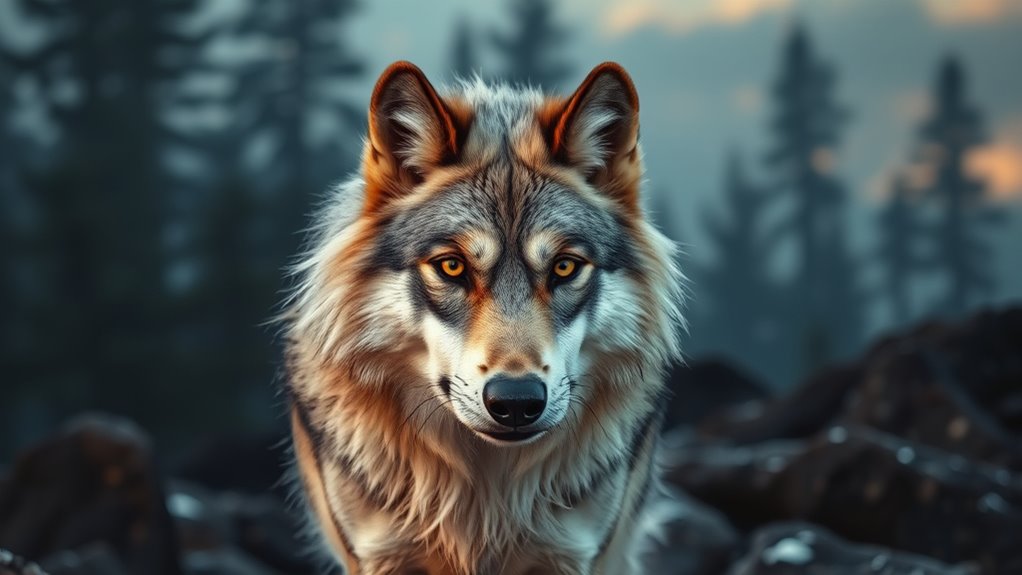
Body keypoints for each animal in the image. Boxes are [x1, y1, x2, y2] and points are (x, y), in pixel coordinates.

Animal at [283, 61, 685, 575]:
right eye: (452, 266)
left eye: (564, 267)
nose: (515, 401)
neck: (485, 502)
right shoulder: (379, 555)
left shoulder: (572, 554)